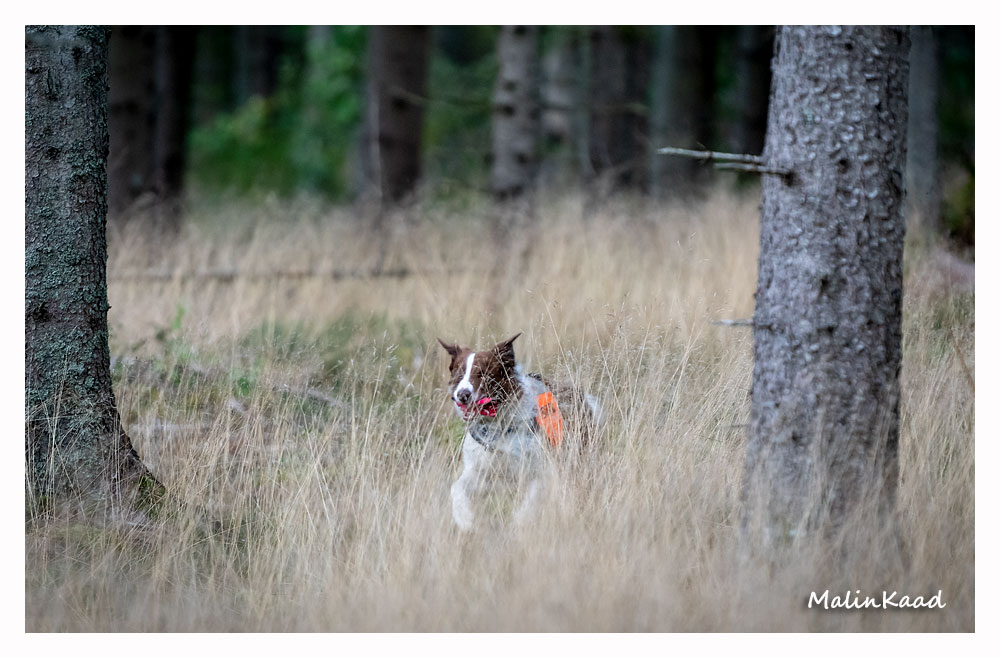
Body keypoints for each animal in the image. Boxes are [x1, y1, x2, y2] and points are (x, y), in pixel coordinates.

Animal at [438, 333, 600, 530]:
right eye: (459, 375)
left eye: (483, 374)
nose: (463, 395)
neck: (497, 426)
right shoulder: (480, 470)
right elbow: (457, 488)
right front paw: (465, 520)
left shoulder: (539, 470)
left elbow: (527, 507)